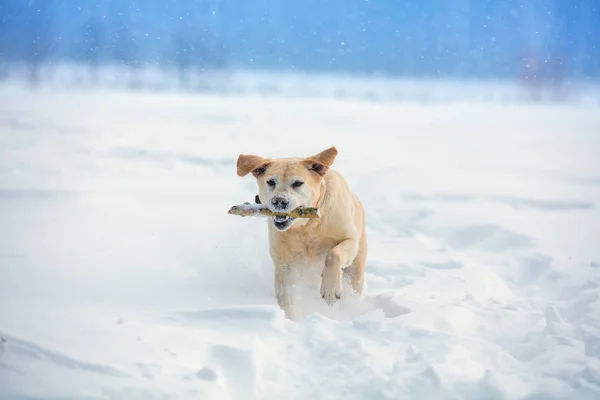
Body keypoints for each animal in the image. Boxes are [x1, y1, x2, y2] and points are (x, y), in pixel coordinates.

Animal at [237, 147, 368, 318]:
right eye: (271, 182)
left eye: (298, 183)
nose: (279, 201)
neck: (307, 226)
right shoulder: (283, 265)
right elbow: (285, 298)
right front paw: (289, 319)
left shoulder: (350, 240)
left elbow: (333, 254)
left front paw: (330, 289)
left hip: (356, 268)